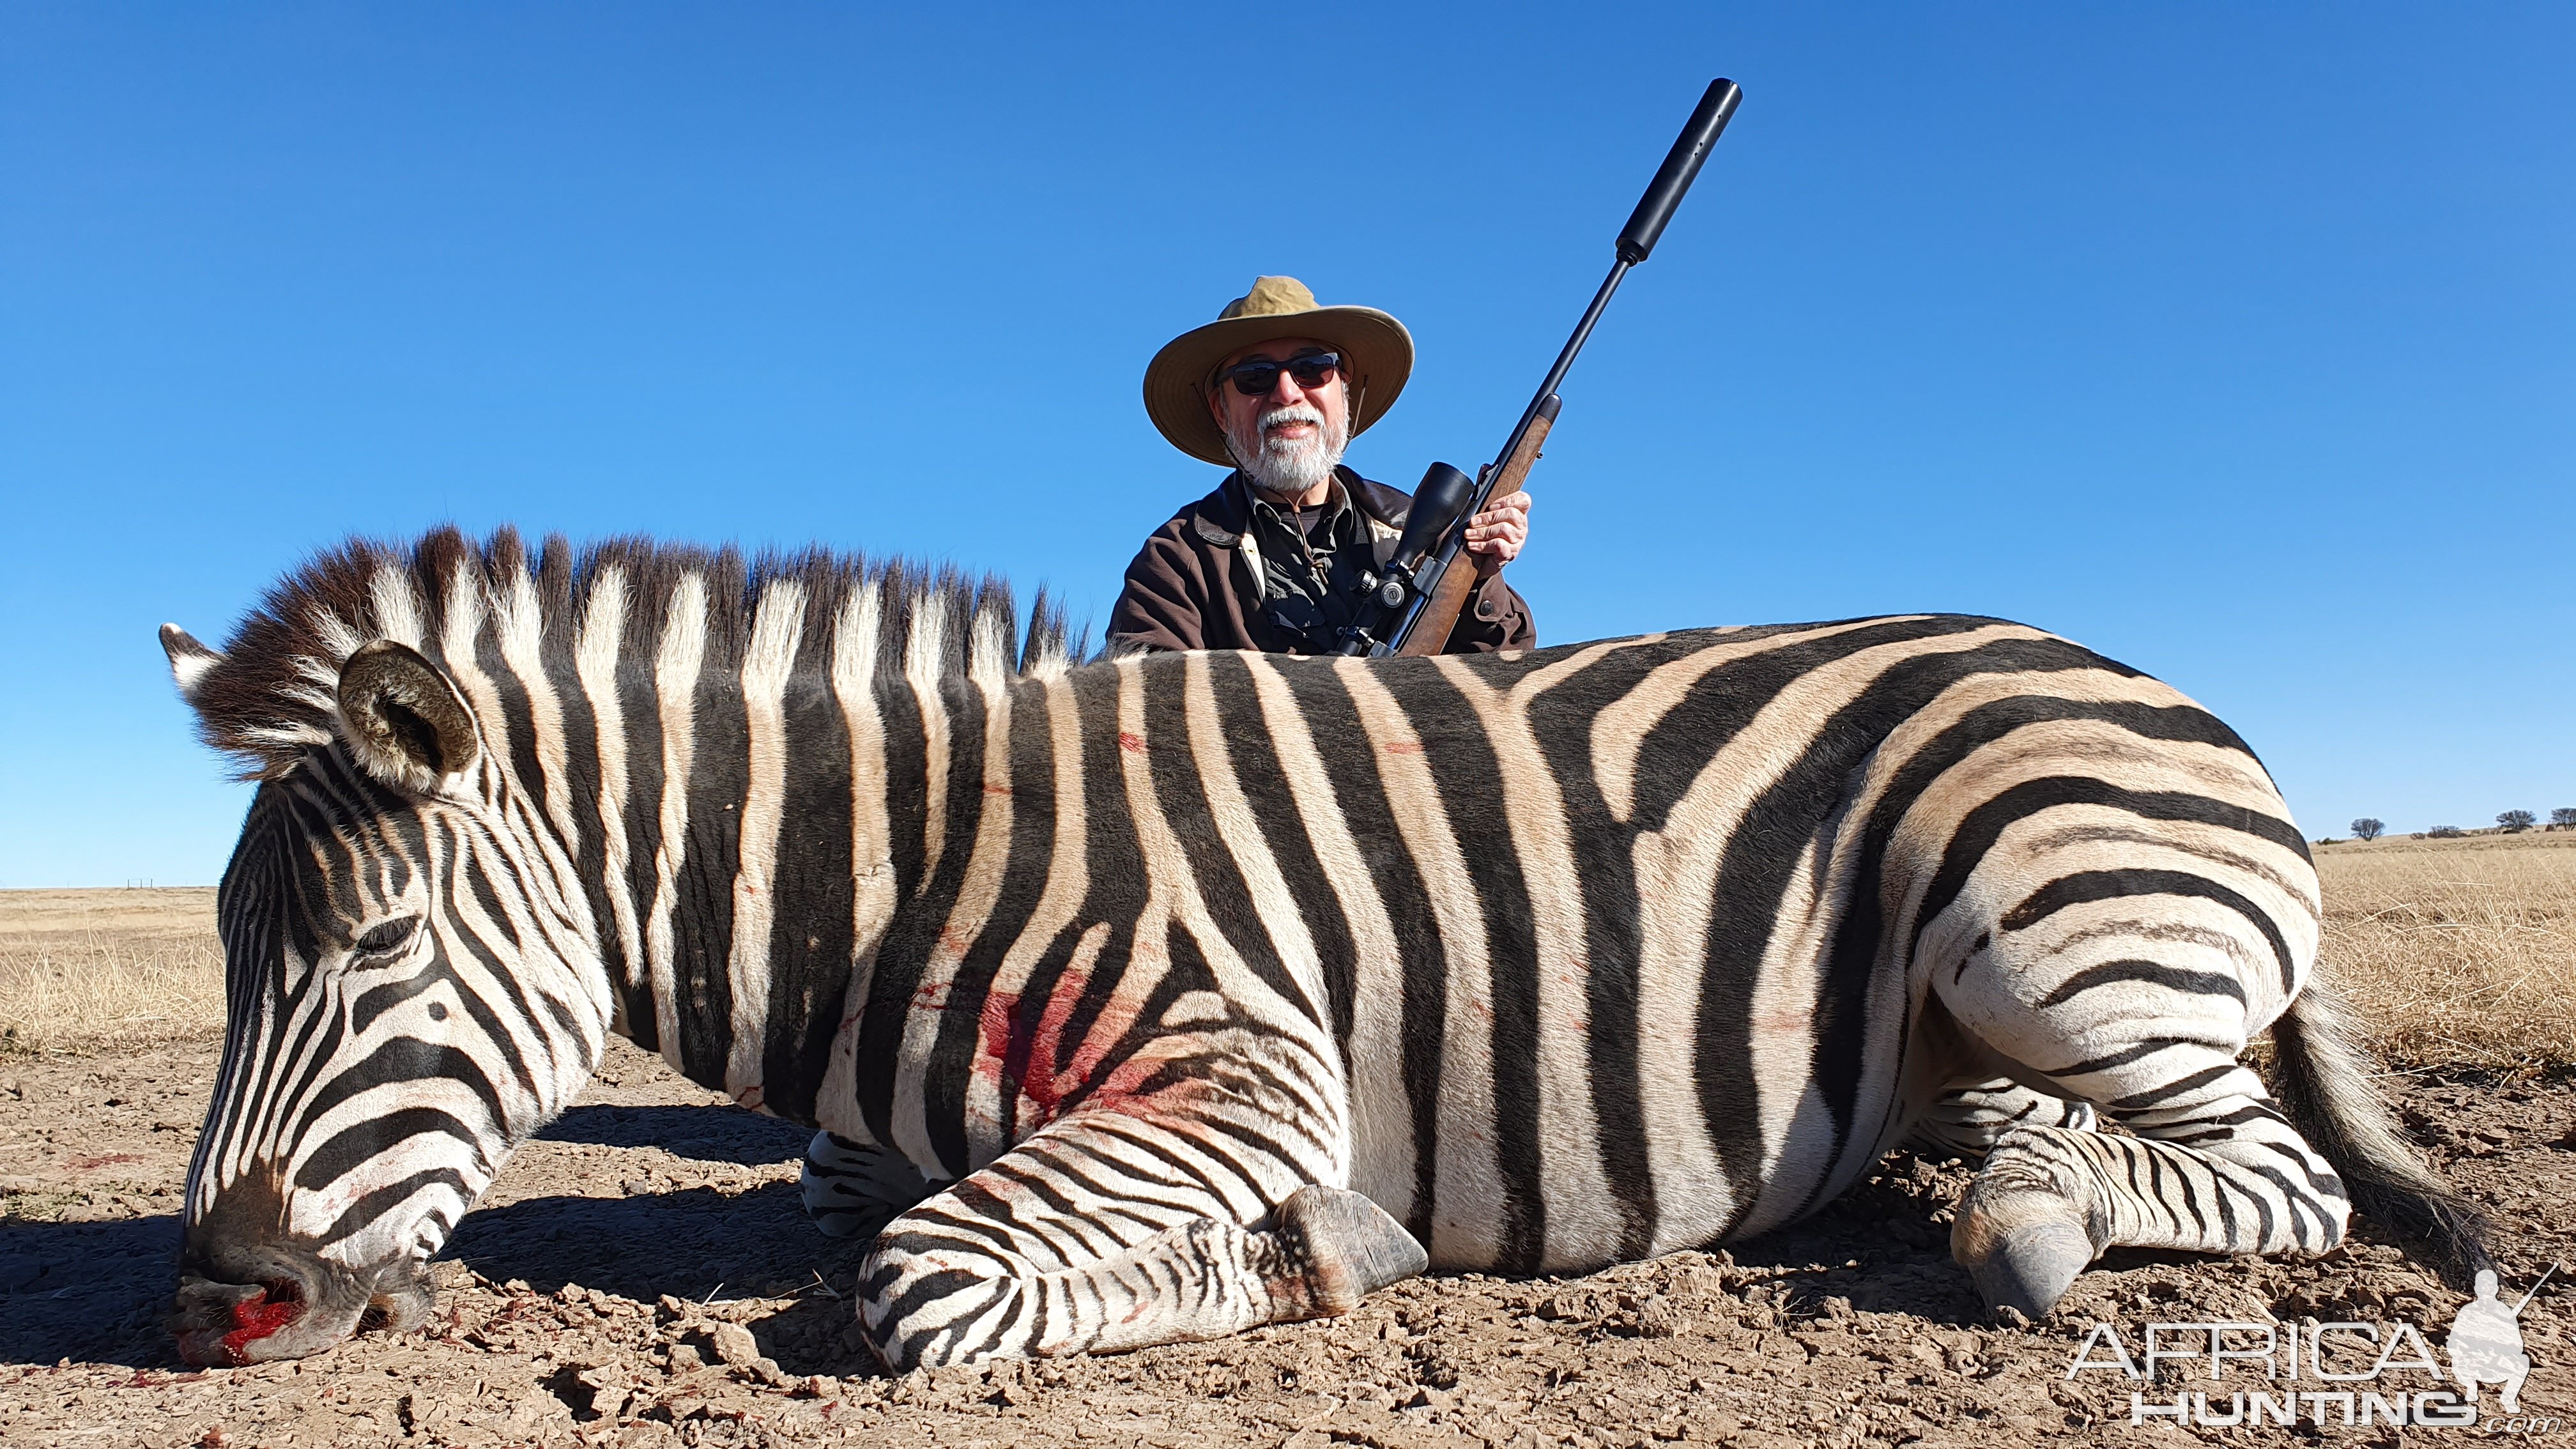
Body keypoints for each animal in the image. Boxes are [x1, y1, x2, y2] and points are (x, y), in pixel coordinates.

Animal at [155, 528, 2472, 1361]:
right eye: (229, 952)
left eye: (369, 947)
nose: (211, 1293)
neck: (900, 872)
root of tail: (2155, 687)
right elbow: (853, 1199)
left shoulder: (1239, 1060)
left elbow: (924, 1275)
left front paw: (1316, 1252)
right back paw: (1980, 1157)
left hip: (2043, 918)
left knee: (2282, 1167)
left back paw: (2030, 1205)